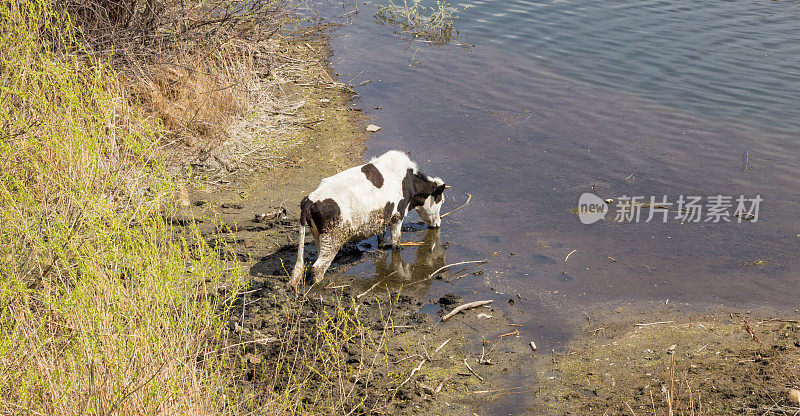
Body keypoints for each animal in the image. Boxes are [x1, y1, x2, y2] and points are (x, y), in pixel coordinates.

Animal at [290, 150, 450, 290]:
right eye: (441, 200)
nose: (438, 224)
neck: (409, 181)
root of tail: (310, 200)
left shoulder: (383, 217)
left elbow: (381, 236)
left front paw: (382, 246)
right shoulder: (397, 216)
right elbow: (396, 241)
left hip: (320, 237)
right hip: (332, 239)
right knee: (317, 268)